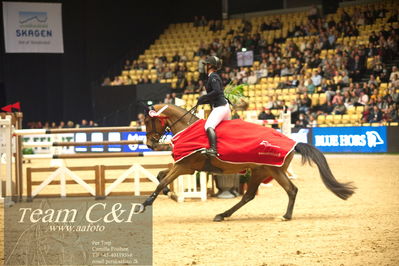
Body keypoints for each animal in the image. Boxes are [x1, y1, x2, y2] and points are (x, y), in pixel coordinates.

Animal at [141, 103, 356, 221]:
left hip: (273, 171)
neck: (188, 128)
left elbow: (162, 180)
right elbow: (160, 175)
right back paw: (222, 215)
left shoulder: (185, 166)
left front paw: (145, 203)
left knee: (291, 190)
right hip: (261, 172)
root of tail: (293, 143)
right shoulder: (187, 167)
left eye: (148, 121)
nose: (150, 144)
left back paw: (285, 216)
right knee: (249, 196)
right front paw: (166, 192)